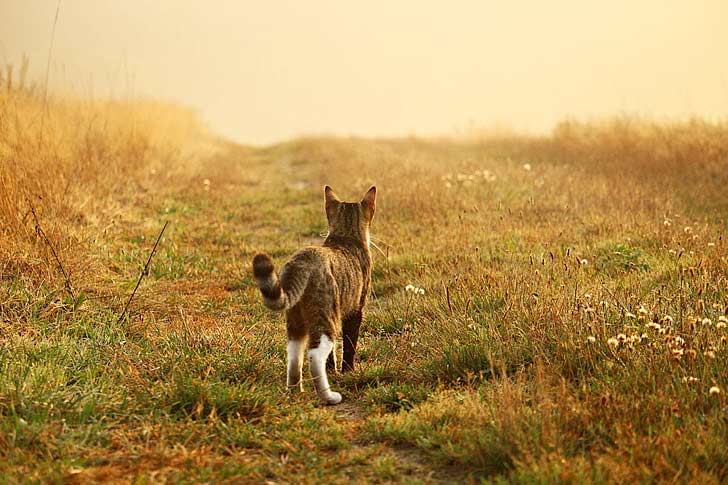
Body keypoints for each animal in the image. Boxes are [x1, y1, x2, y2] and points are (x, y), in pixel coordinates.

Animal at [252, 185, 376, 404]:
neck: (346, 235)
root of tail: (302, 261)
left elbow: (332, 355)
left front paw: (333, 371)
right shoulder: (355, 309)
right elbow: (349, 344)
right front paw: (348, 372)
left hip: (296, 321)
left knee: (295, 356)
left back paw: (295, 391)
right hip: (326, 316)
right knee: (315, 356)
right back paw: (328, 396)